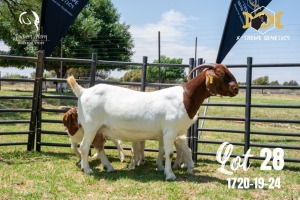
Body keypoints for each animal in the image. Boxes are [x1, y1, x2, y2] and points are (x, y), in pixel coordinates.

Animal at [67, 64, 239, 181]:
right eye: (221, 73)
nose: (236, 89)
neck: (185, 97)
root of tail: (83, 91)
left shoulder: (170, 132)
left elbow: (166, 150)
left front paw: (164, 168)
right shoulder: (170, 130)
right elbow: (169, 152)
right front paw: (170, 175)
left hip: (100, 129)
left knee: (98, 146)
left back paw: (109, 167)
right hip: (91, 126)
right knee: (84, 147)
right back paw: (88, 170)